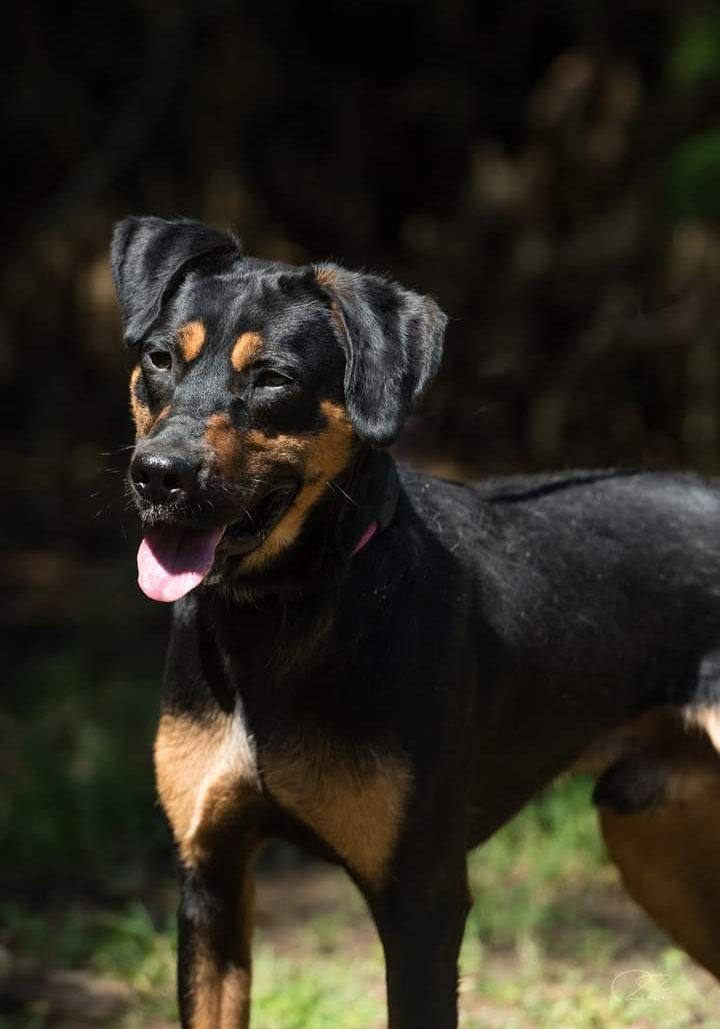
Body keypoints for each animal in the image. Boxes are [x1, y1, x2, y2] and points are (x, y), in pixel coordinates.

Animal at [109, 213, 720, 1024]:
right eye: (158, 358)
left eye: (273, 378)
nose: (158, 475)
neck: (286, 611)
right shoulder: (210, 878)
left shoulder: (422, 900)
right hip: (658, 843)